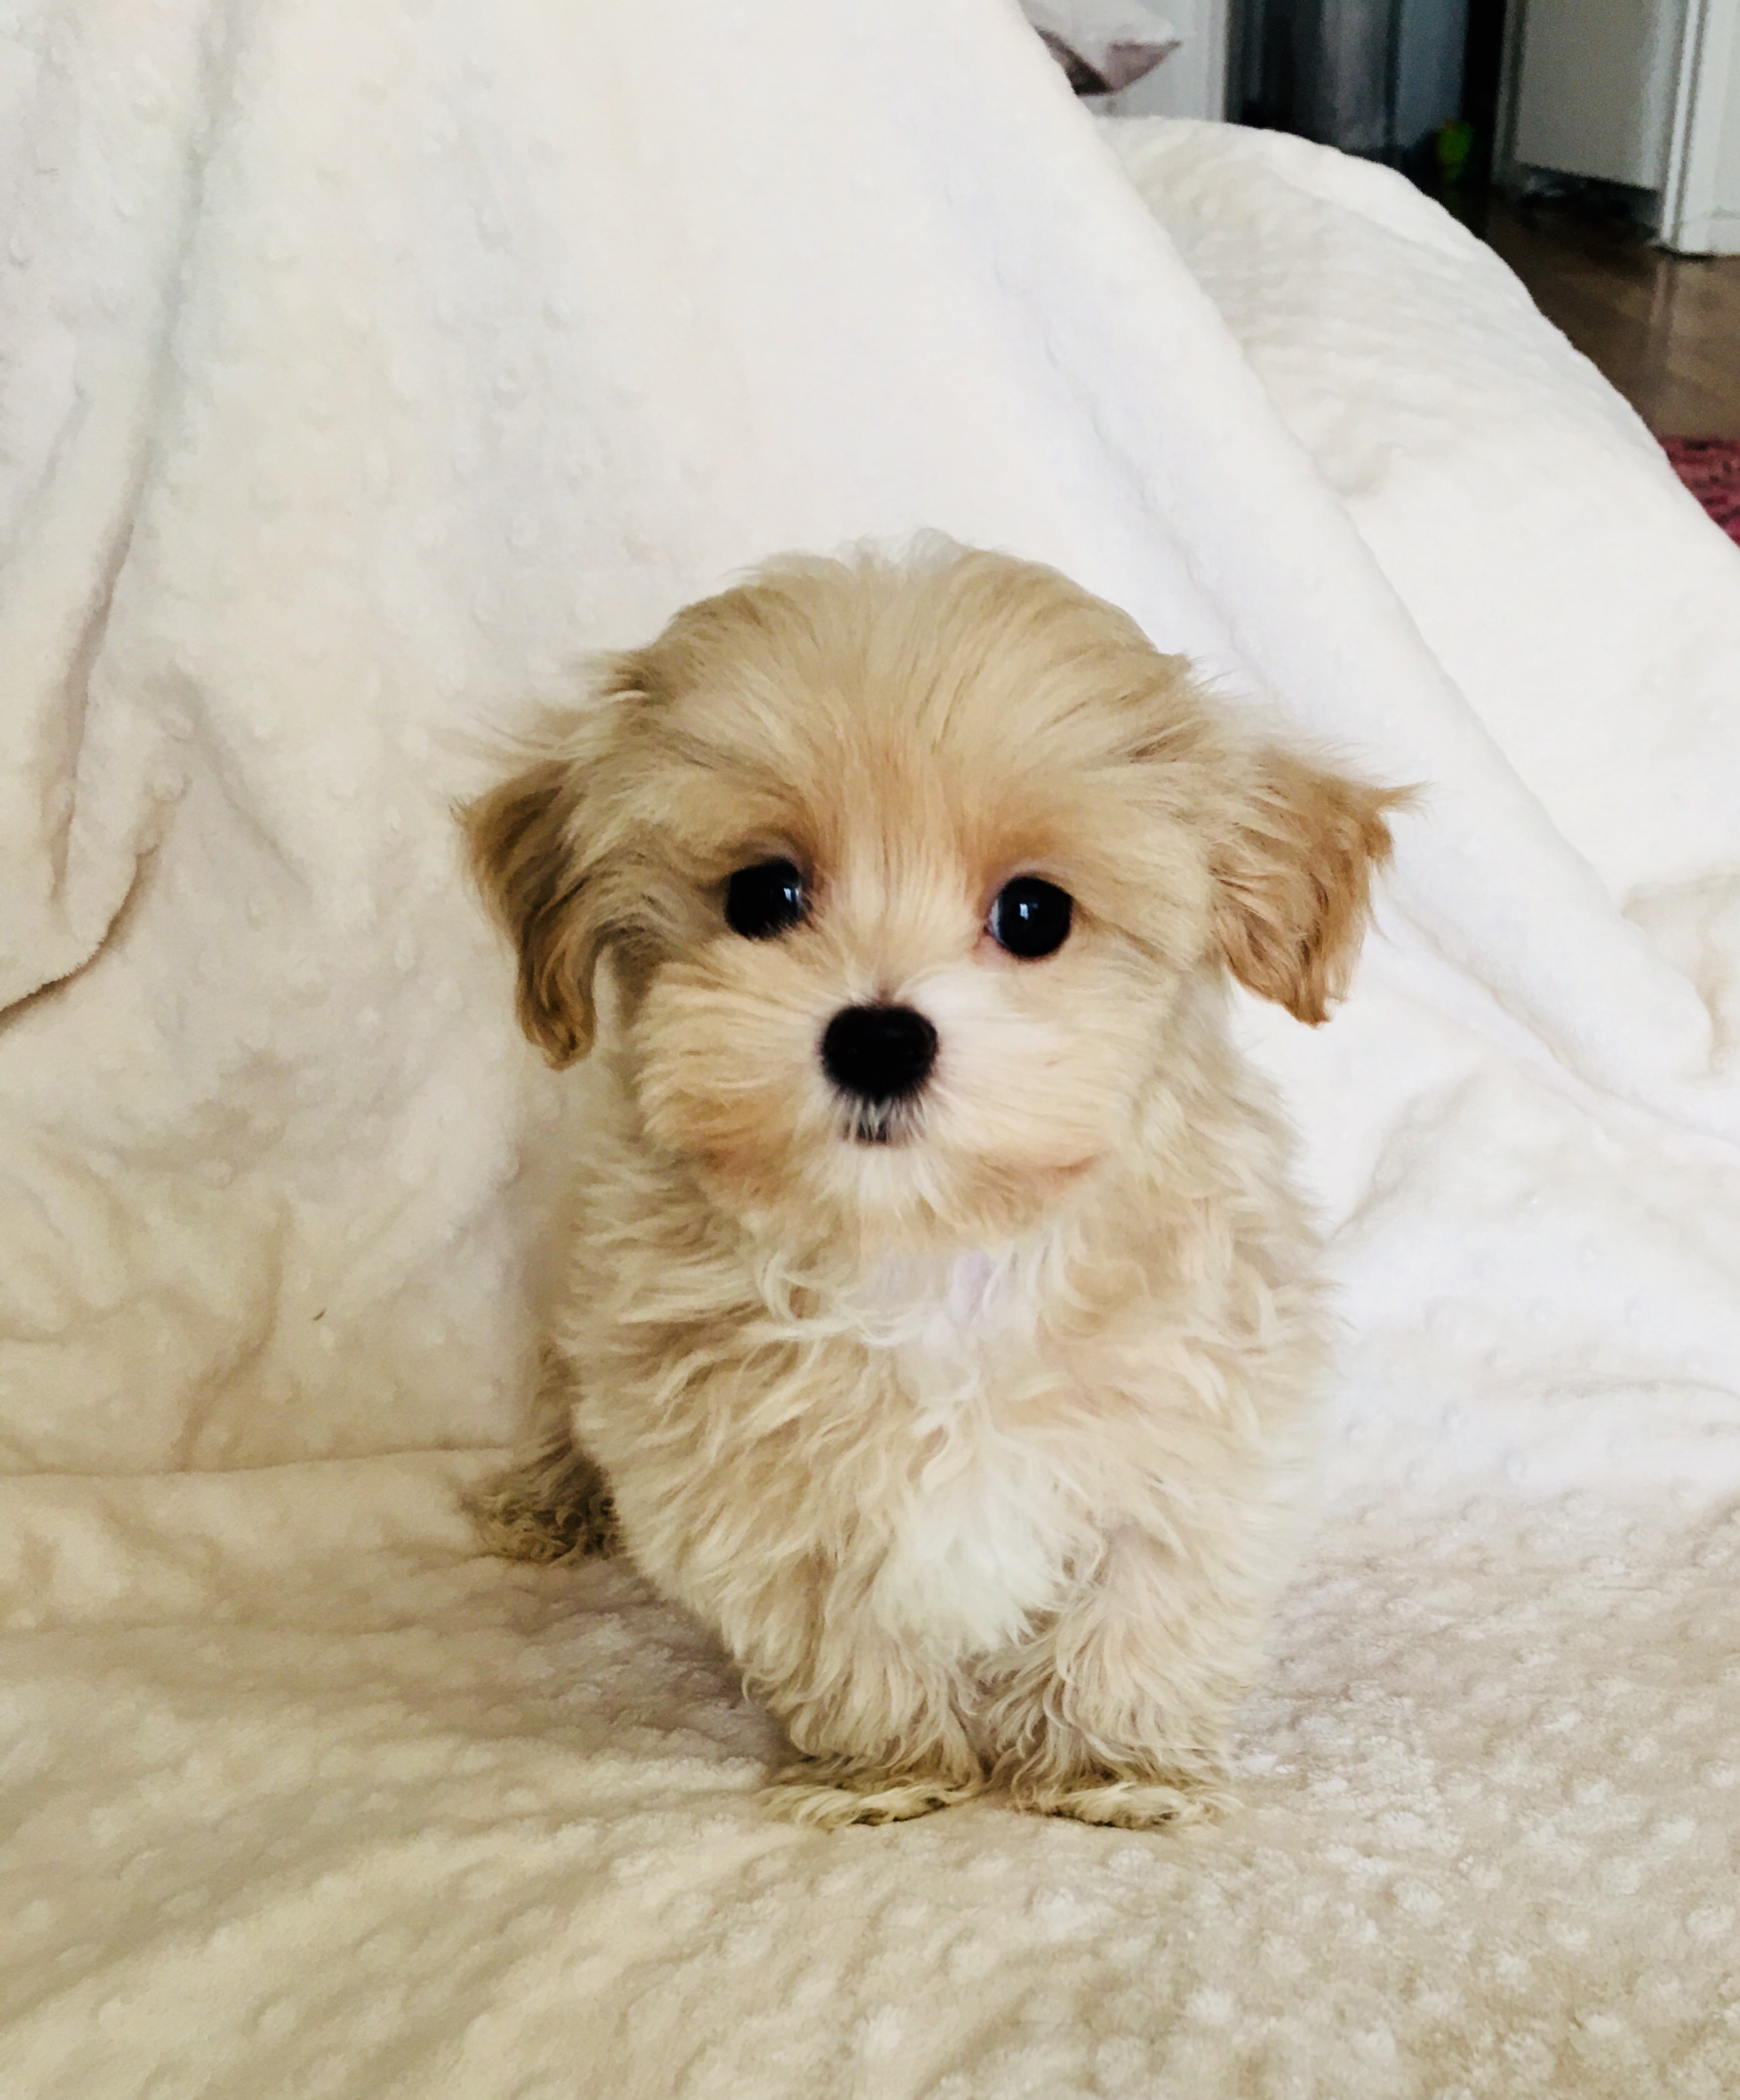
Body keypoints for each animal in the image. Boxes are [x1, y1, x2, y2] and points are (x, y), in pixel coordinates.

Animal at [462, 550, 1402, 1831]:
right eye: (762, 895)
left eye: (1034, 912)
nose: (877, 1037)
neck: (932, 1250)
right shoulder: (746, 1486)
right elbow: (843, 1637)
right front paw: (892, 1769)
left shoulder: (1193, 1438)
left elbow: (1137, 1612)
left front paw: (1110, 1765)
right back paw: (547, 1497)